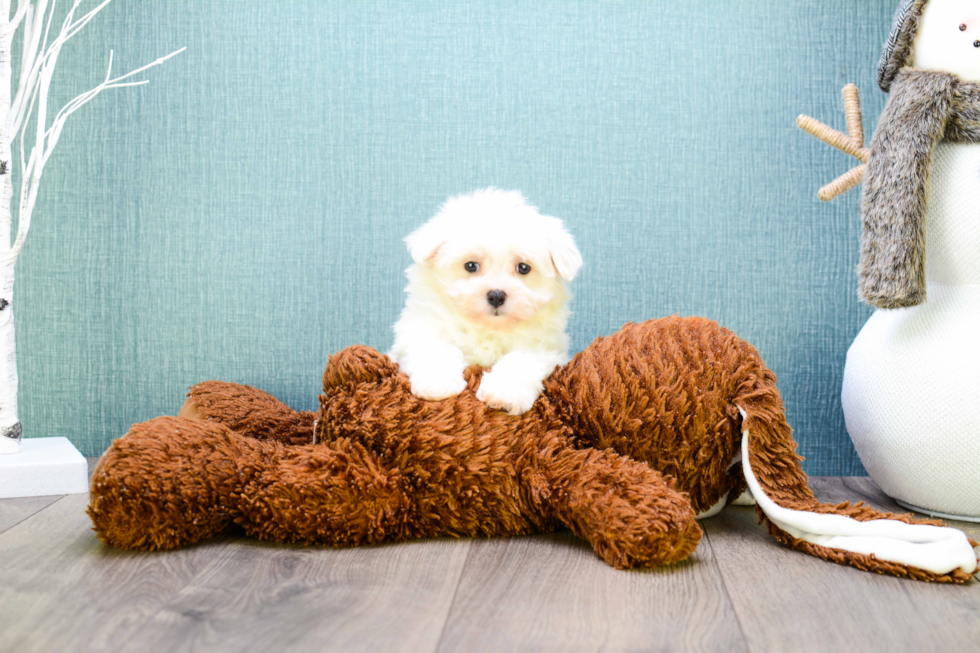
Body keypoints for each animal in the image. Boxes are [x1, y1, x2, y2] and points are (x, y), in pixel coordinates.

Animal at [390, 187, 580, 412]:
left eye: (523, 268)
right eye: (471, 266)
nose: (496, 295)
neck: (488, 328)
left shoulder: (547, 347)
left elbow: (523, 360)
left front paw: (504, 393)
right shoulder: (420, 327)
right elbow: (436, 347)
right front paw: (438, 384)